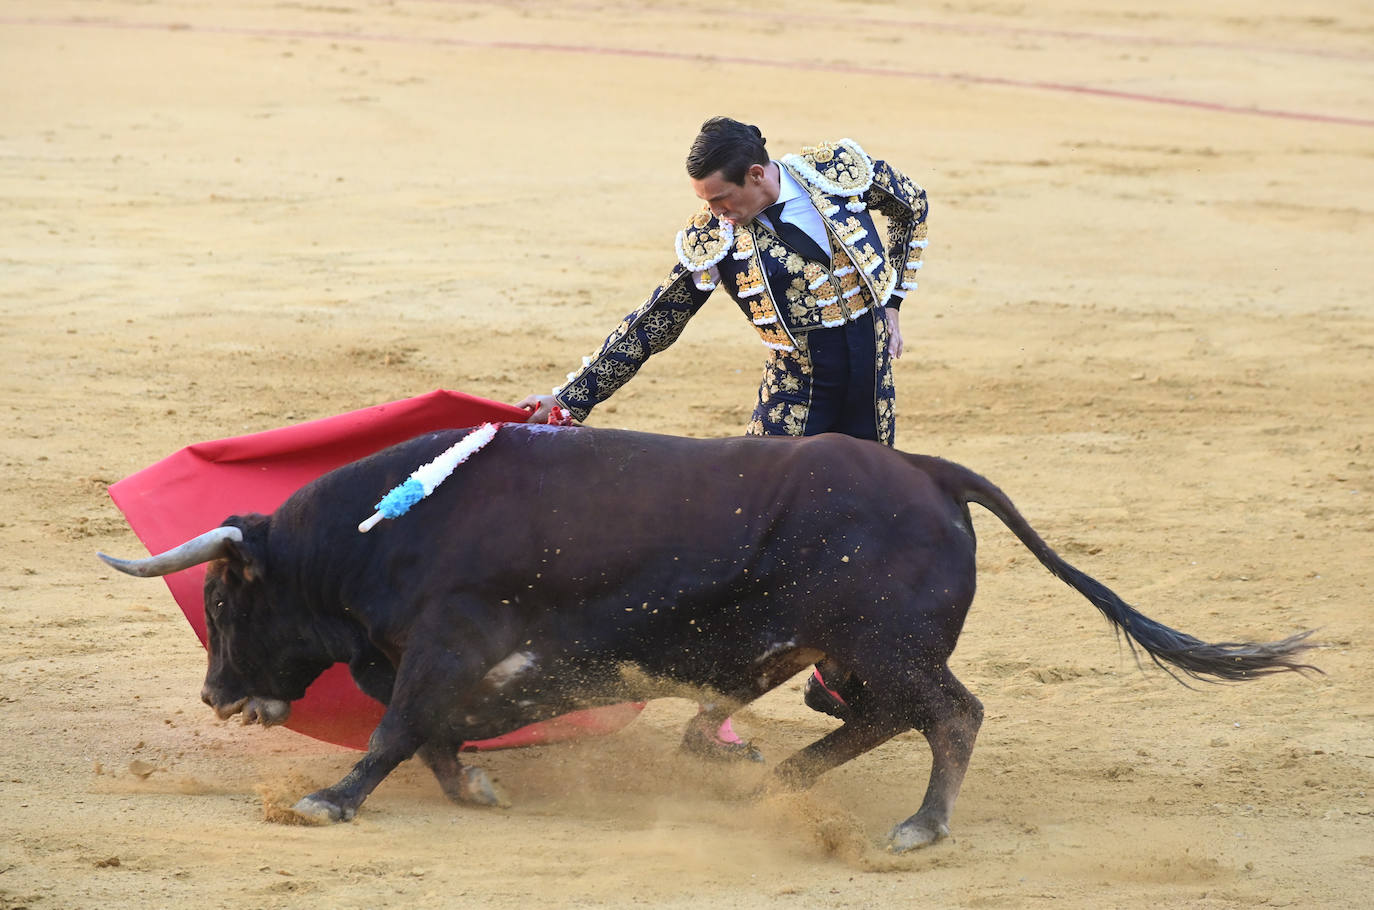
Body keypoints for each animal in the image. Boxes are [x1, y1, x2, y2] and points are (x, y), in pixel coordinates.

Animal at [99, 428, 1319, 857]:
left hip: (884, 643)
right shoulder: (489, 661)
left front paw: (328, 801)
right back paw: (766, 785)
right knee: (881, 716)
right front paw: (476, 792)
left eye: (227, 600)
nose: (214, 698)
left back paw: (918, 827)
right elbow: (442, 730)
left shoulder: (450, 637)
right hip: (853, 650)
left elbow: (401, 725)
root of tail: (929, 472)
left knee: (949, 713)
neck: (391, 531)